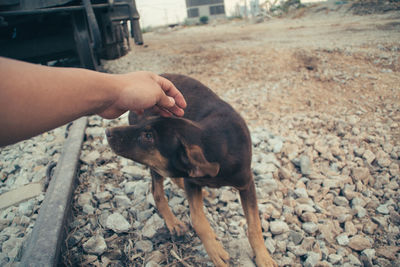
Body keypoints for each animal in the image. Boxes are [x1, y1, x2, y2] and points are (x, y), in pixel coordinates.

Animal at [104, 74, 276, 267]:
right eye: (146, 128)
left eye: (148, 136)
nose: (107, 131)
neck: (215, 142)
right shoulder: (192, 182)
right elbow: (198, 220)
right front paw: (215, 251)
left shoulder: (246, 184)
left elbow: (254, 226)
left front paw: (263, 257)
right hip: (156, 166)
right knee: (157, 192)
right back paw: (173, 222)